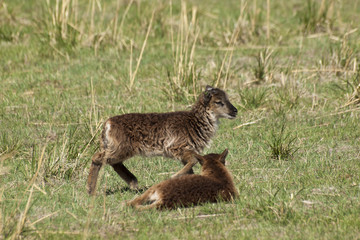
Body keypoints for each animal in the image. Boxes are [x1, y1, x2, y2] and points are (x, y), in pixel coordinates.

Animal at [87, 86, 238, 195]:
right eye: (218, 102)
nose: (235, 111)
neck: (195, 122)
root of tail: (108, 124)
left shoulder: (184, 151)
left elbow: (190, 167)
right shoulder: (176, 147)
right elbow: (193, 160)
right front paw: (174, 176)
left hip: (119, 148)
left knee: (113, 163)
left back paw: (133, 183)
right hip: (121, 148)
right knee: (97, 158)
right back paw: (91, 190)